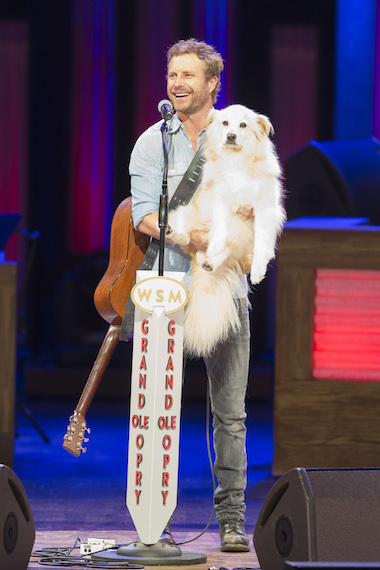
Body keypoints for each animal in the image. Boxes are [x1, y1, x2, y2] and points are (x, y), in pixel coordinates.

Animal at [168, 104, 284, 356]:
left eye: (243, 125)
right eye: (225, 123)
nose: (231, 136)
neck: (236, 161)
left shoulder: (265, 209)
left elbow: (261, 244)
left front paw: (258, 271)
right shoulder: (219, 199)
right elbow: (220, 227)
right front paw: (215, 244)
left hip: (241, 235)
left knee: (227, 253)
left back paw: (211, 262)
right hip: (184, 213)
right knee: (188, 236)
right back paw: (181, 237)